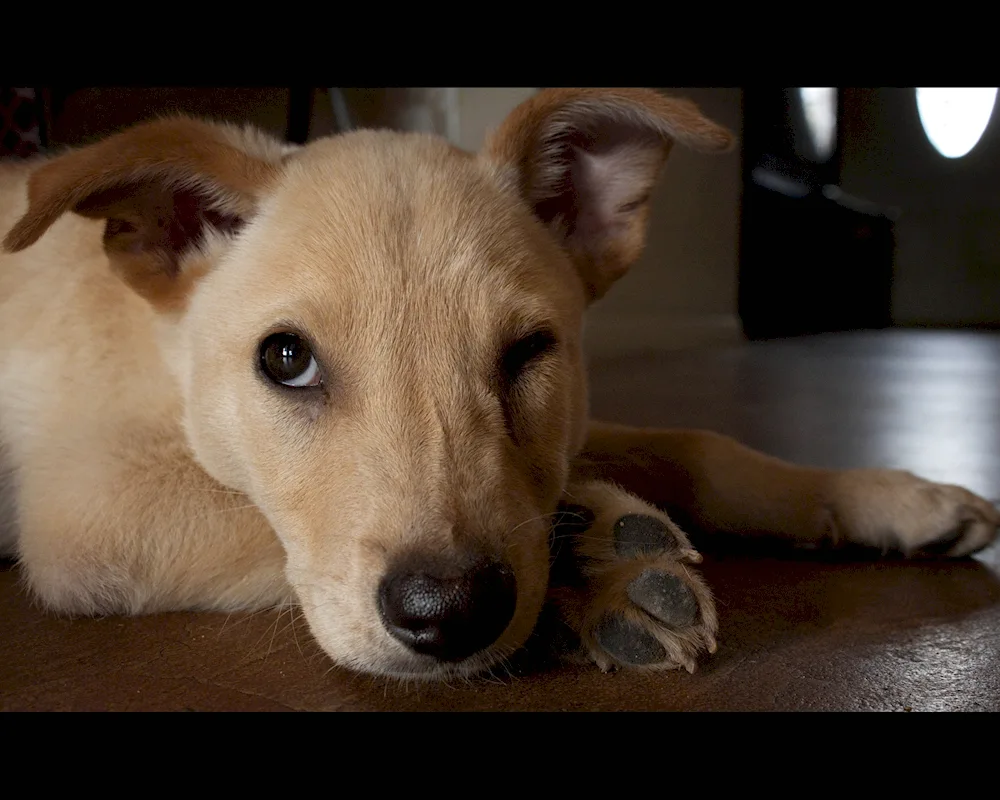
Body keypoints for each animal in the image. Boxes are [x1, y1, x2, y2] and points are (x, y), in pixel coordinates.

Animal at [0, 89, 996, 680]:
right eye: (285, 361)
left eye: (526, 353)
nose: (449, 617)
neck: (162, 352)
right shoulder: (90, 508)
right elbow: (272, 532)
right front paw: (595, 573)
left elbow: (696, 447)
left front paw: (883, 496)